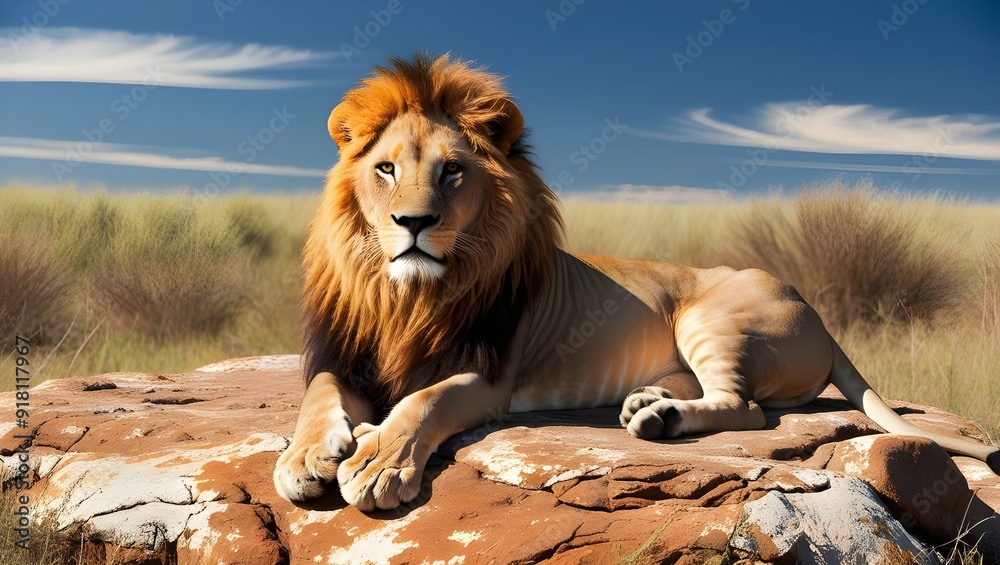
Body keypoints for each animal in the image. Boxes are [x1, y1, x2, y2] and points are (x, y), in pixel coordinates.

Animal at [273, 54, 999, 511]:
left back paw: (660, 419)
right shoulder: (350, 355)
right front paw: (305, 457)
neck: (407, 295)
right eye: (386, 169)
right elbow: (318, 391)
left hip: (712, 318)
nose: (415, 223)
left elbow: (425, 402)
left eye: (453, 171)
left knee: (748, 407)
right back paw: (647, 401)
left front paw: (376, 464)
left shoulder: (489, 376)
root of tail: (813, 306)